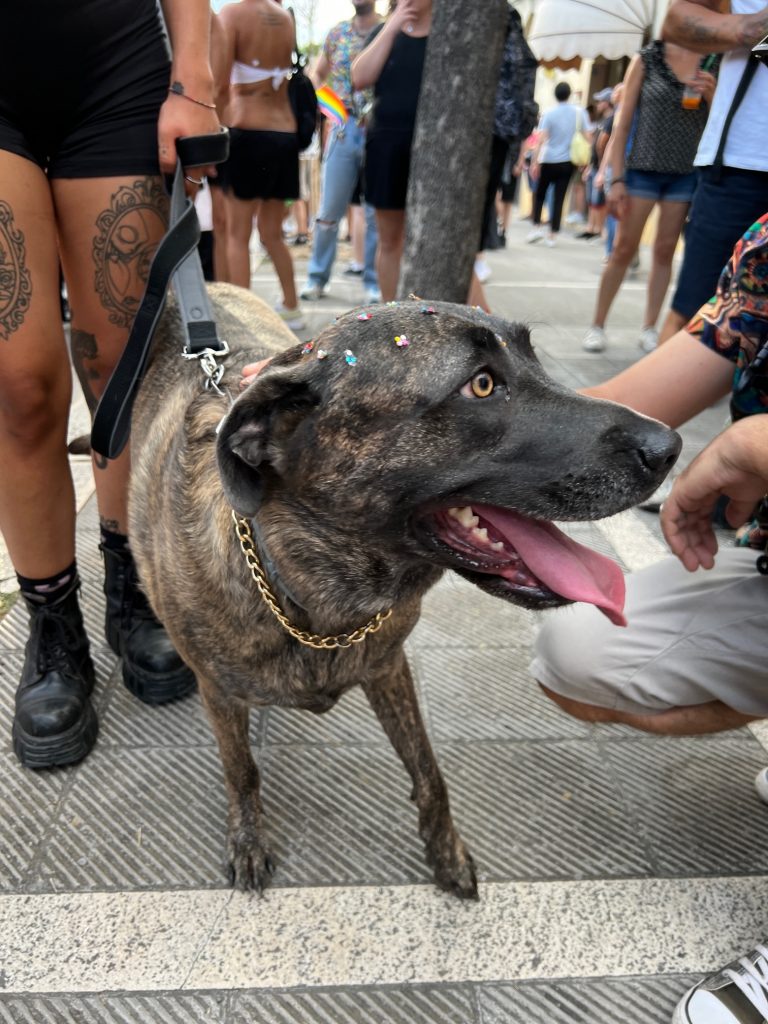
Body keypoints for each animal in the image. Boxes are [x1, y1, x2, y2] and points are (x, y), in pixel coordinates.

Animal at [129, 284, 684, 901]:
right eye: (481, 385)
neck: (311, 597)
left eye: (534, 359)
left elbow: (427, 769)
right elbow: (241, 768)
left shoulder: (389, 666)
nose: (670, 446)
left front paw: (446, 851)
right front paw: (248, 838)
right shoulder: (219, 693)